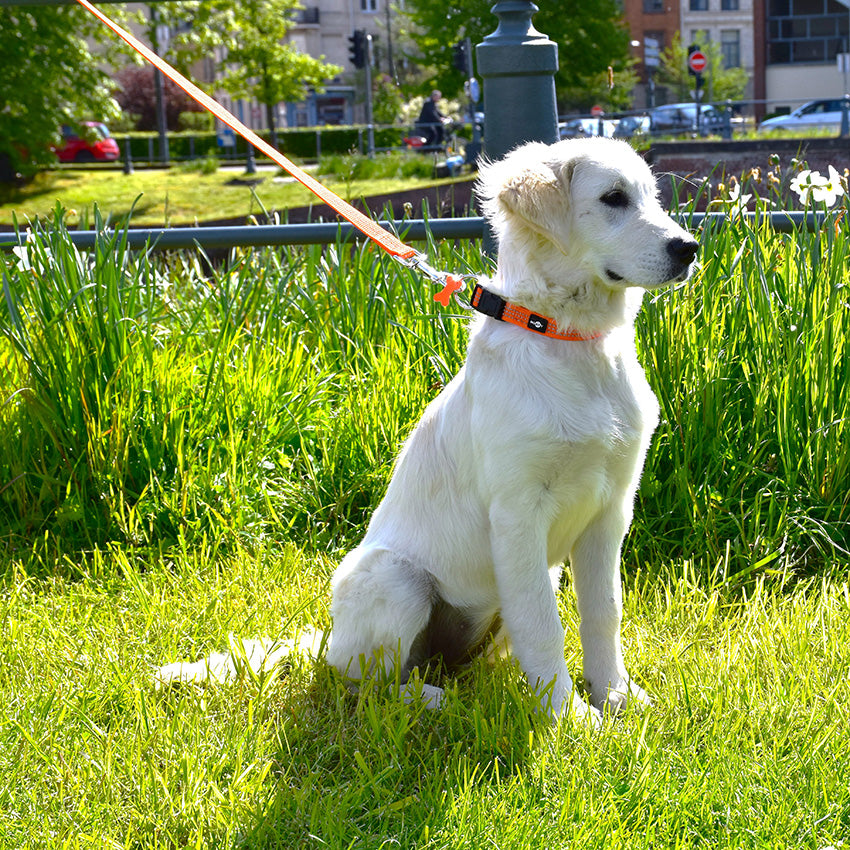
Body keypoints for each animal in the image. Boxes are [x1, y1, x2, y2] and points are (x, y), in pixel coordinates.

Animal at [157, 137, 696, 724]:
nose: (689, 248)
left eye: (651, 196)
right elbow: (545, 626)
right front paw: (567, 718)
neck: (568, 340)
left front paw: (616, 696)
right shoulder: (518, 514)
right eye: (613, 198)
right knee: (367, 684)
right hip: (395, 579)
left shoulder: (610, 508)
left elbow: (603, 613)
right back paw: (441, 702)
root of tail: (327, 641)